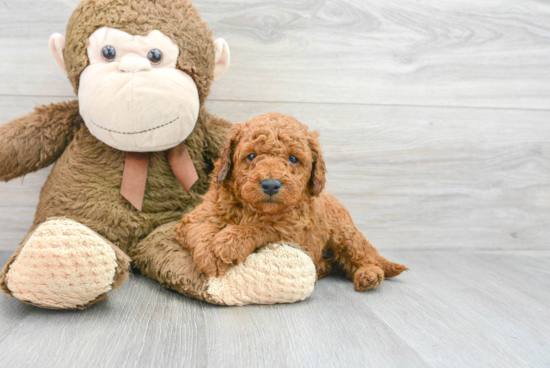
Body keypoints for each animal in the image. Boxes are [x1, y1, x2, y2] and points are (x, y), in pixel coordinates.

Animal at [177, 112, 410, 290]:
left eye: (293, 159)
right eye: (251, 156)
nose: (271, 185)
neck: (252, 210)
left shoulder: (294, 231)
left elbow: (263, 227)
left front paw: (228, 244)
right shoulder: (199, 215)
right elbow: (200, 230)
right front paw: (210, 256)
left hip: (345, 234)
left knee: (365, 258)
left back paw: (369, 275)